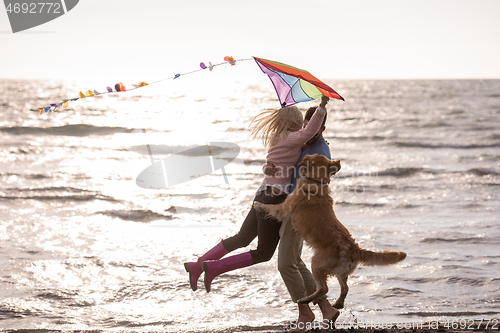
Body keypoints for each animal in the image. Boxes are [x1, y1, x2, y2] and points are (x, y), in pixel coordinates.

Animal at [254, 154, 406, 308]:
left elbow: (271, 208)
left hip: (316, 263)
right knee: (345, 288)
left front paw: (258, 204)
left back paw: (306, 299)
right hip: (341, 272)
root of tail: (354, 249)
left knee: (324, 288)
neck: (316, 182)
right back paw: (338, 303)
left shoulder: (283, 209)